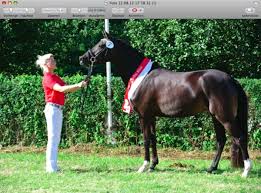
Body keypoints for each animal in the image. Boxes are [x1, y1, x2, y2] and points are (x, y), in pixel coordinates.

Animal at [78, 32, 250, 176]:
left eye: (101, 45)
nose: (82, 58)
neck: (142, 77)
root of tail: (231, 79)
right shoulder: (152, 116)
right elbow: (153, 138)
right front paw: (153, 165)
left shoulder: (144, 116)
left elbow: (146, 139)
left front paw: (143, 166)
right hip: (215, 117)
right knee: (221, 140)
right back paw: (211, 168)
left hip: (224, 117)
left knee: (240, 138)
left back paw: (246, 171)